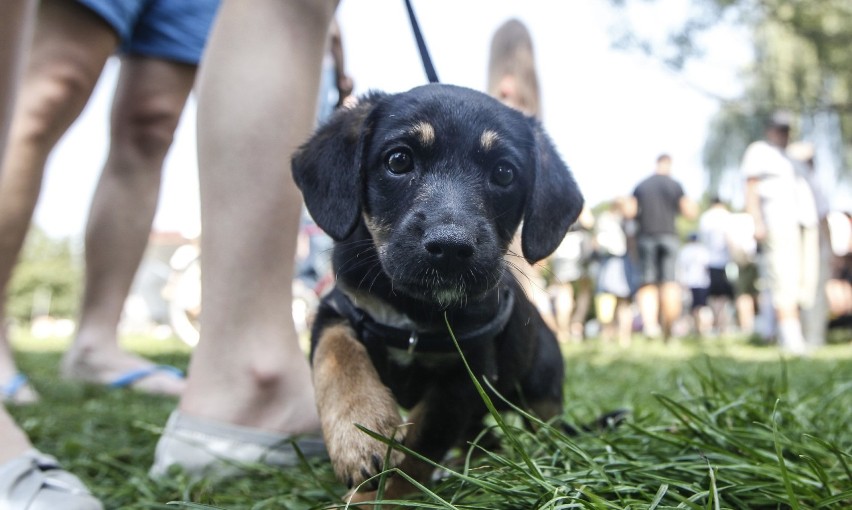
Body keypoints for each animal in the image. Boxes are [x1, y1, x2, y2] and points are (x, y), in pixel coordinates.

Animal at [294, 82, 584, 498]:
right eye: (399, 160)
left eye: (504, 173)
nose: (450, 248)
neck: (414, 309)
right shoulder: (339, 310)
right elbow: (337, 357)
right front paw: (360, 433)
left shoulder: (465, 375)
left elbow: (421, 444)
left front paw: (376, 495)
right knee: (484, 439)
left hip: (541, 390)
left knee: (544, 430)